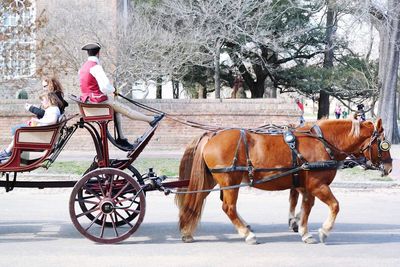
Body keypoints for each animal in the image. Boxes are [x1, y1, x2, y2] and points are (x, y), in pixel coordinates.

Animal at [177, 118, 392, 244]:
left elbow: (305, 207)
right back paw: (247, 234)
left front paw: (303, 230)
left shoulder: (306, 186)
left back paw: (188, 231)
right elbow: (334, 205)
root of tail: (212, 135)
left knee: (196, 200)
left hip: (212, 179)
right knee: (228, 207)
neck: (322, 143)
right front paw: (324, 231)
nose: (390, 167)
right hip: (229, 180)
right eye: (384, 144)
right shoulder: (317, 185)